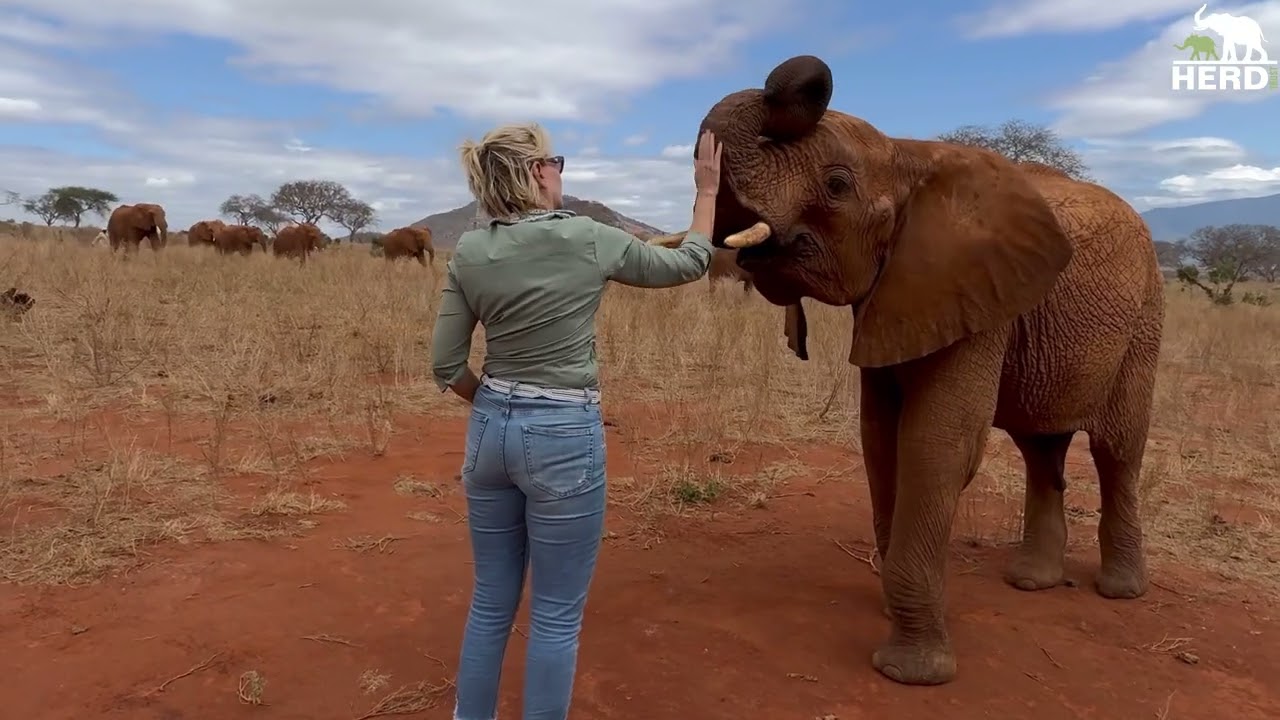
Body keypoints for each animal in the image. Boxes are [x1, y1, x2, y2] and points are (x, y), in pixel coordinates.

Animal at [695, 55, 1165, 686]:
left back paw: (1120, 591)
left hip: (1145, 316)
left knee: (1117, 449)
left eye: (837, 186)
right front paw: (894, 616)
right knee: (1040, 447)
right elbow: (879, 439)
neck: (906, 155)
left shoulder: (979, 293)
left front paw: (910, 673)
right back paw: (1031, 582)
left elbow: (935, 443)